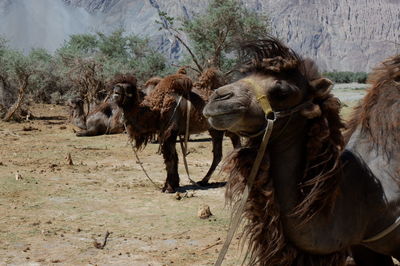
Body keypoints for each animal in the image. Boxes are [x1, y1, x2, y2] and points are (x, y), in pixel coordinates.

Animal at [111, 68, 239, 193]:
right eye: (116, 86)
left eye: (128, 88)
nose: (115, 93)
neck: (156, 109)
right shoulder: (167, 133)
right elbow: (174, 157)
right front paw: (173, 184)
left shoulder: (170, 132)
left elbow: (170, 159)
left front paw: (168, 188)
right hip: (215, 130)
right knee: (220, 153)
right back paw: (205, 181)